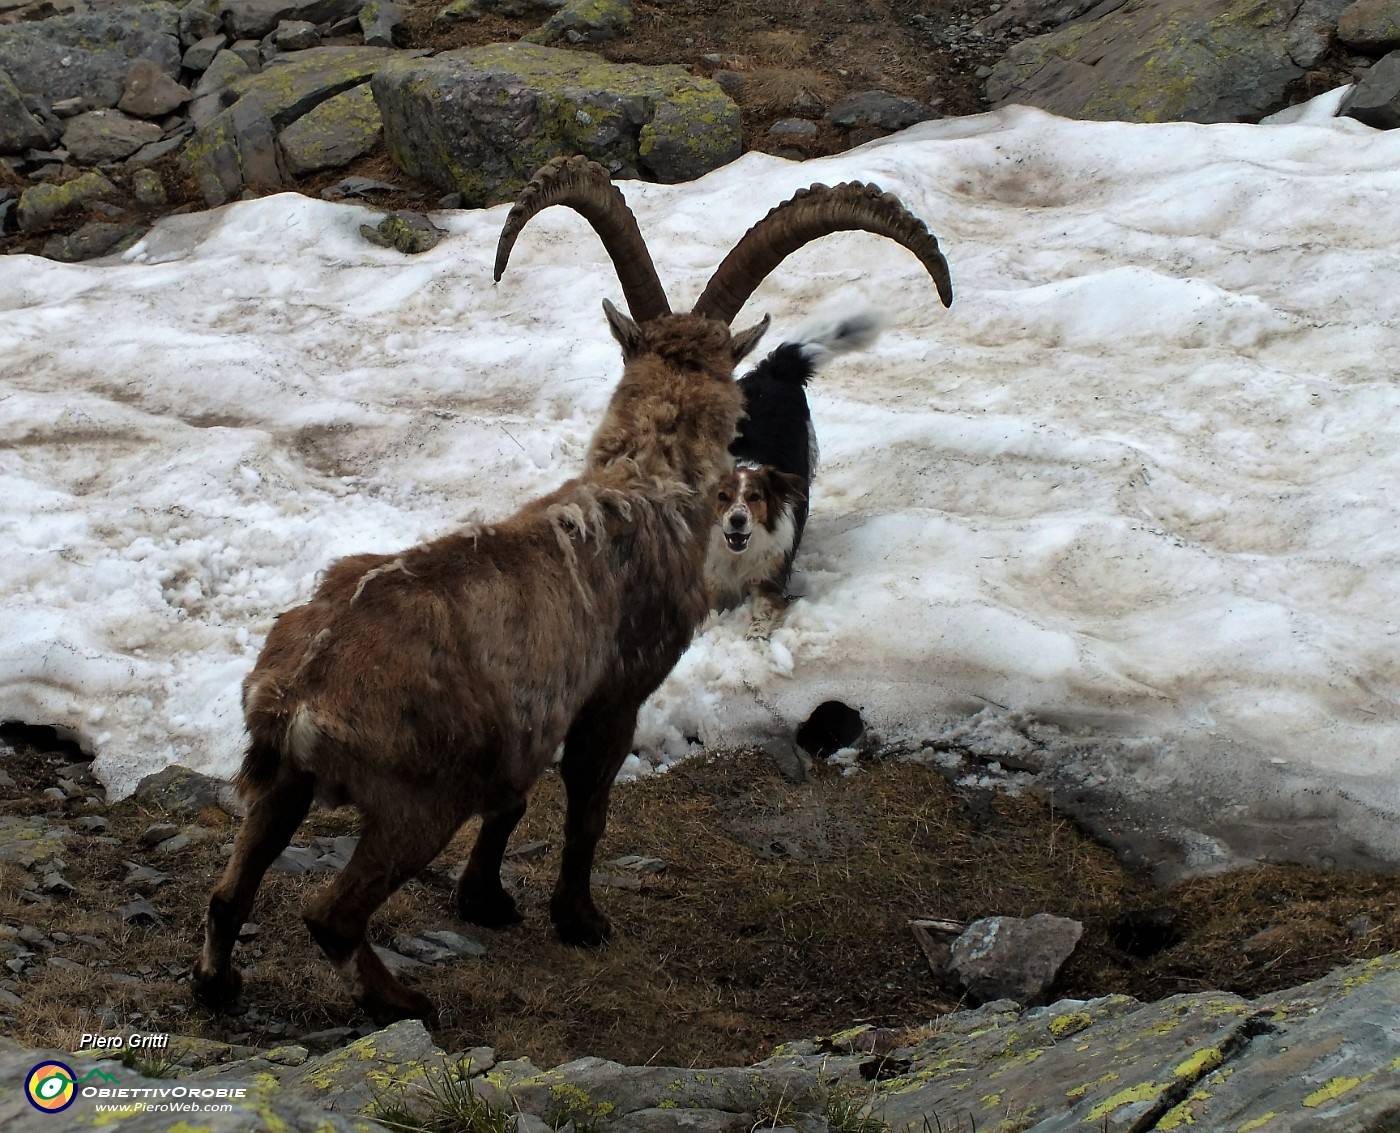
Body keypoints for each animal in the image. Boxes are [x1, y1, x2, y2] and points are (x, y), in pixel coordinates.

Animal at [705, 312, 879, 635]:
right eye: (722, 496)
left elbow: (760, 619)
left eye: (755, 497)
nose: (737, 521)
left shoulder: (769, 583)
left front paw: (754, 640)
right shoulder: (711, 582)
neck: (737, 557)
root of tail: (775, 371)